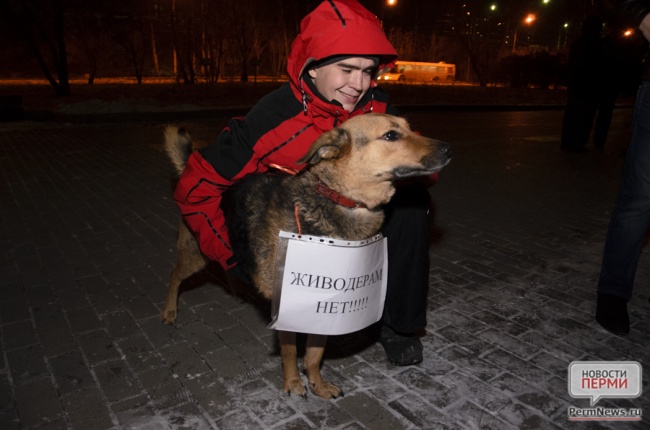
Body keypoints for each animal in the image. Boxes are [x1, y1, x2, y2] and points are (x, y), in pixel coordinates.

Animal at [159, 113, 448, 400]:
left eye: (410, 128)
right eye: (391, 135)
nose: (448, 148)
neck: (340, 198)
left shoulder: (324, 305)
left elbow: (314, 354)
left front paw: (317, 383)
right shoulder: (287, 305)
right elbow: (289, 352)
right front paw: (293, 383)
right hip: (197, 252)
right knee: (174, 275)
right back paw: (169, 311)